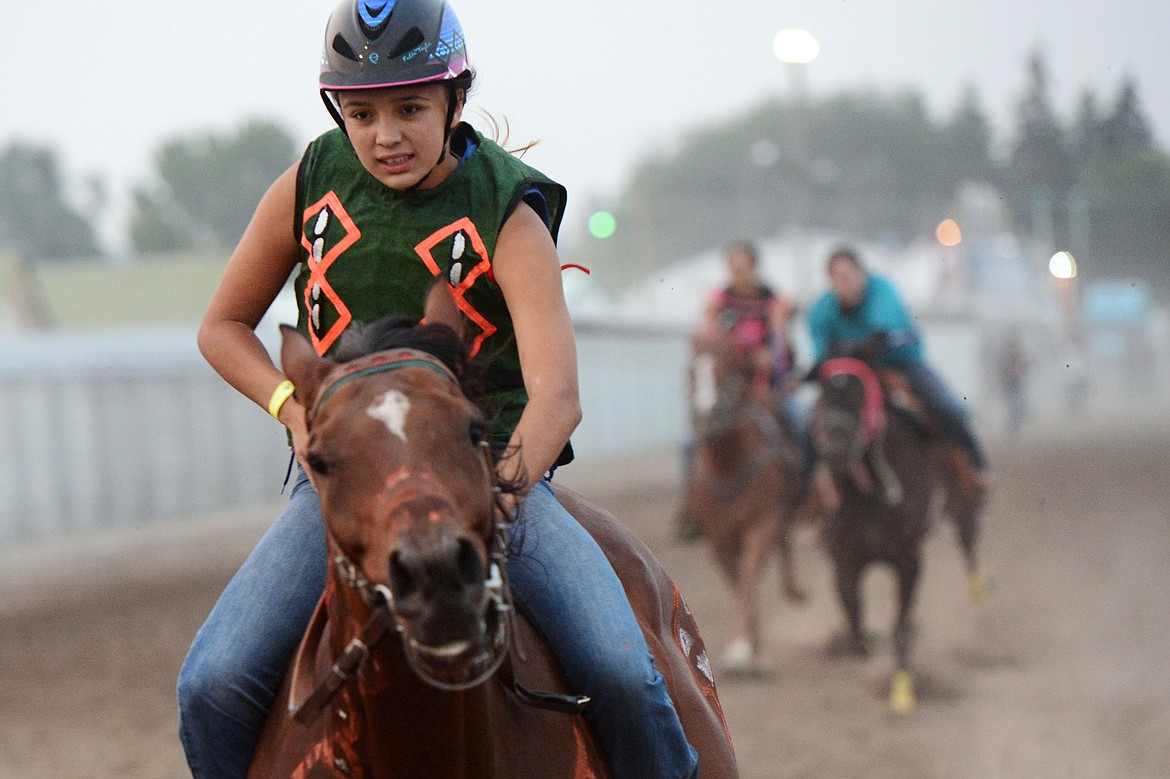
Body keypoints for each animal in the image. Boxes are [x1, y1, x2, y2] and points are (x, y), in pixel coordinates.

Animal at [683, 327, 809, 673]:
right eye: (690, 371)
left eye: (728, 373)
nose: (706, 414)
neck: (728, 465)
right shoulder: (718, 538)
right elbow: (738, 580)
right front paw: (748, 645)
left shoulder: (761, 524)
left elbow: (748, 580)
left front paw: (743, 649)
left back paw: (793, 587)